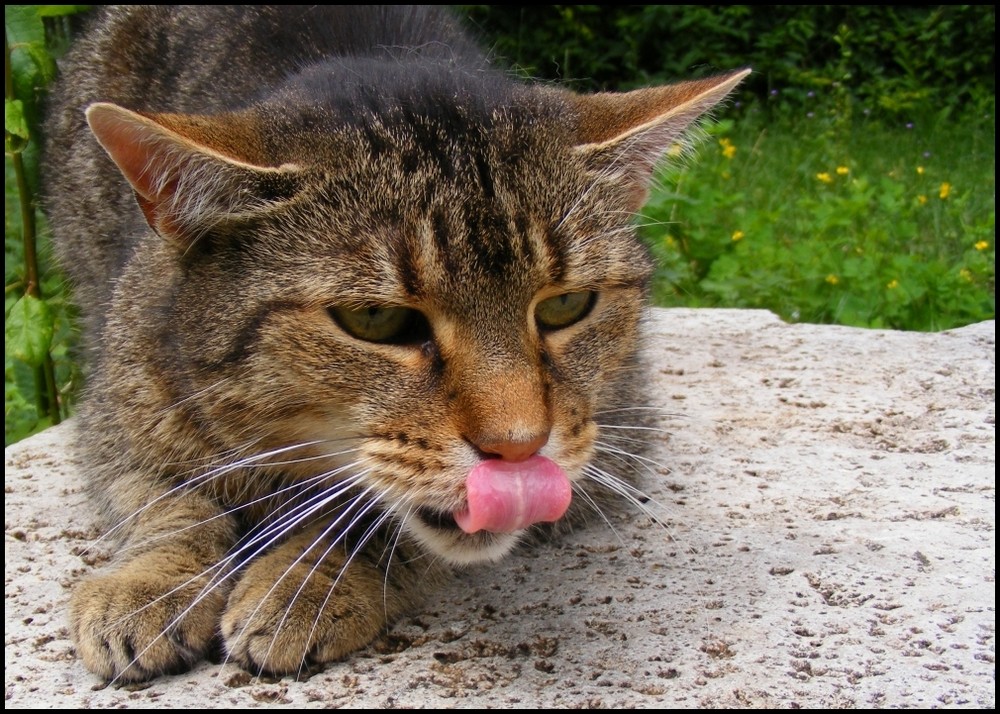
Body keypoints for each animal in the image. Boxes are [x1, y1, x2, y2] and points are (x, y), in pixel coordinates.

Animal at [43, 5, 748, 684]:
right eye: (376, 319)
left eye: (566, 305)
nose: (517, 448)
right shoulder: (117, 412)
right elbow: (165, 506)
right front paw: (146, 586)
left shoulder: (614, 436)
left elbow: (383, 527)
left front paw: (306, 582)